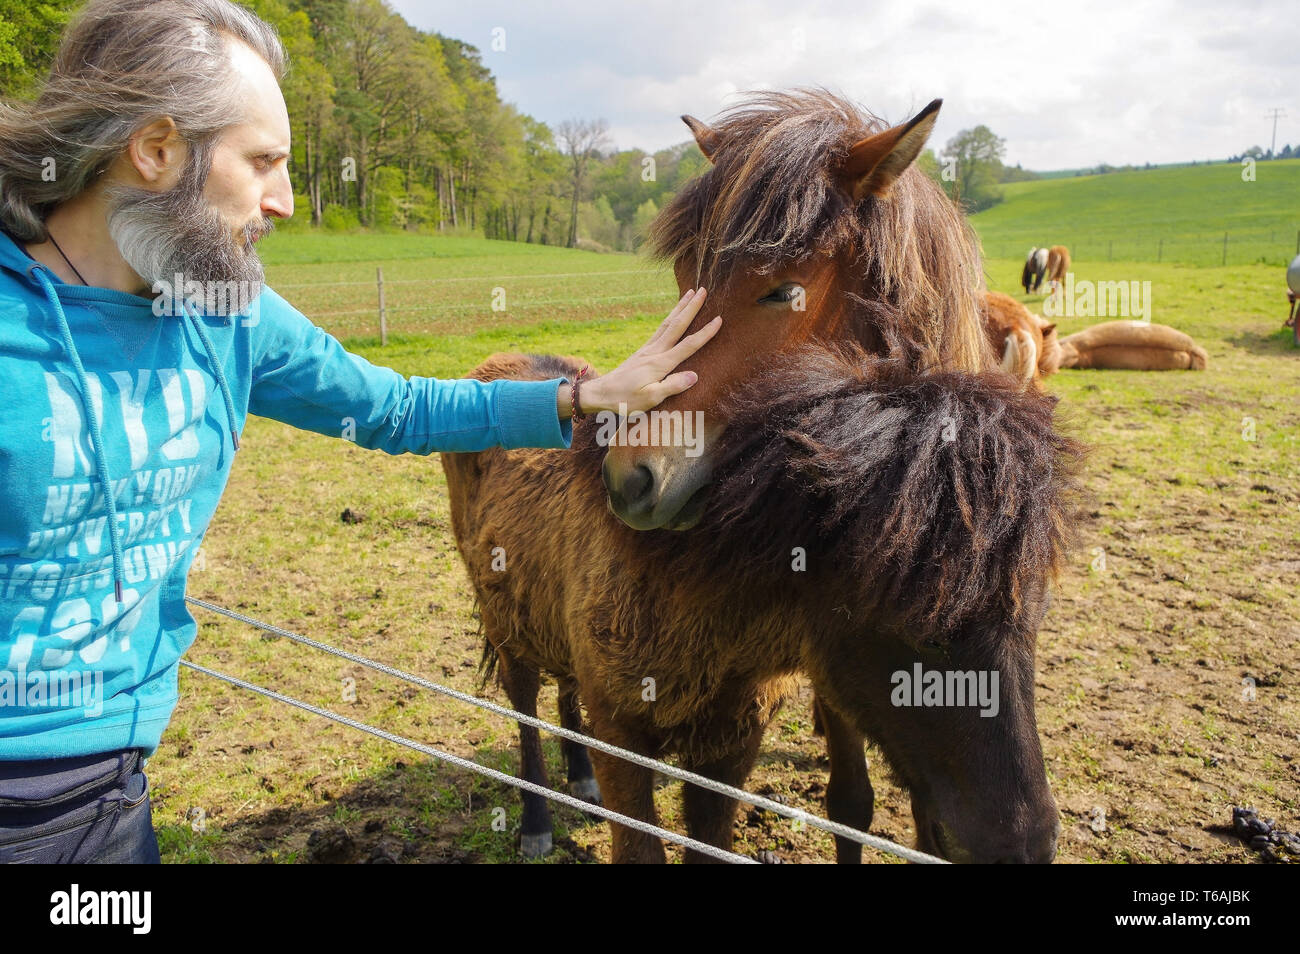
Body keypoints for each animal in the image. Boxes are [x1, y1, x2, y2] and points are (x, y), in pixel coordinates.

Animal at [441, 91, 1081, 868]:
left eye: (784, 291)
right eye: (684, 275)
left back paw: (578, 777)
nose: (630, 480)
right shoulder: (633, 733)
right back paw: (537, 818)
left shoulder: (743, 729)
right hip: (505, 628)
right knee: (526, 707)